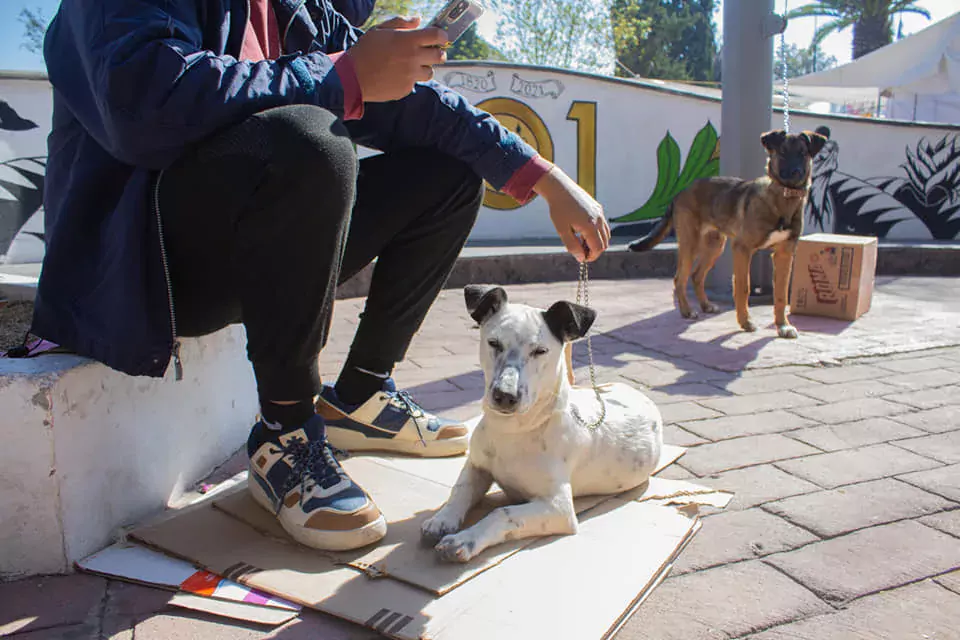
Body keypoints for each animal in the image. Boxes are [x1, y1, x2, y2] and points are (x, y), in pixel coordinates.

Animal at [424, 284, 664, 560]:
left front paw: (465, 539)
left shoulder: (559, 508)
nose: (505, 396)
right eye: (494, 343)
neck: (513, 430)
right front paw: (442, 519)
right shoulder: (477, 466)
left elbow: (501, 513)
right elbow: (460, 489)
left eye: (540, 351)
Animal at [632, 131, 824, 340]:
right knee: (679, 278)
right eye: (782, 152)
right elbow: (743, 287)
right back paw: (687, 311)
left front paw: (783, 325)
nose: (796, 173)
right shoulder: (742, 248)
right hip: (691, 243)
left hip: (715, 246)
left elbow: (781, 294)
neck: (782, 199)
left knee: (696, 276)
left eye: (803, 153)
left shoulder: (784, 254)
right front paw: (746, 322)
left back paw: (706, 305)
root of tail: (680, 192)